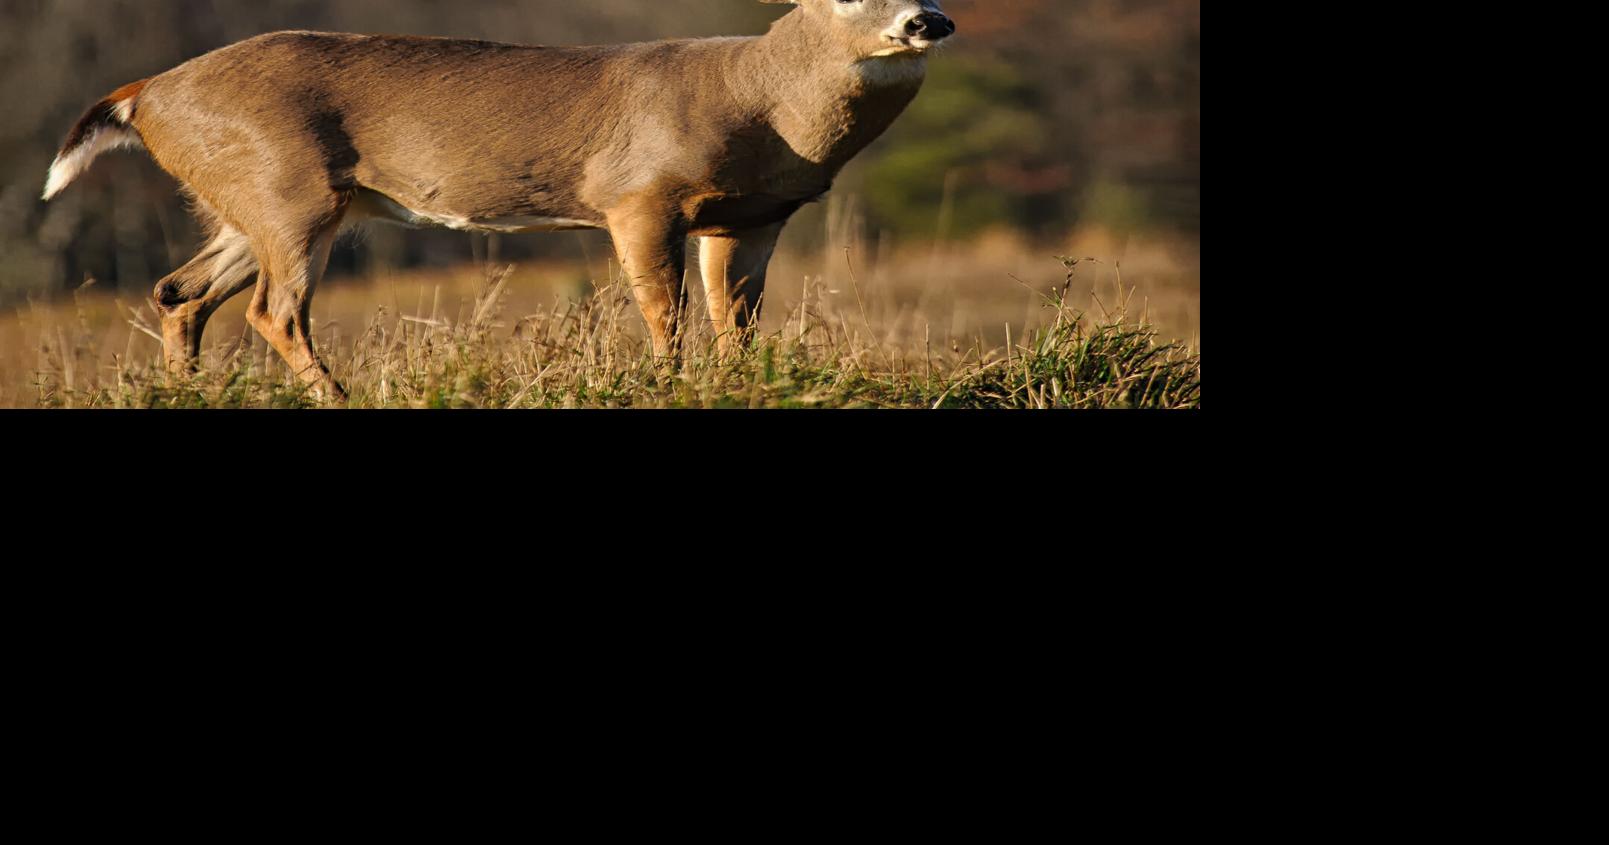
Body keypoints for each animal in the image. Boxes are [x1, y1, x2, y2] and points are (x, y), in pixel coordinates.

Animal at [40, 0, 956, 401]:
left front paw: (735, 382)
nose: (927, 21)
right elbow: (665, 310)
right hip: (284, 187)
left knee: (178, 290)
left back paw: (188, 392)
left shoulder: (751, 216)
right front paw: (668, 381)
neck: (759, 102)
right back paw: (336, 396)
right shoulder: (637, 192)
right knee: (273, 307)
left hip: (250, 200)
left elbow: (738, 318)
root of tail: (146, 93)